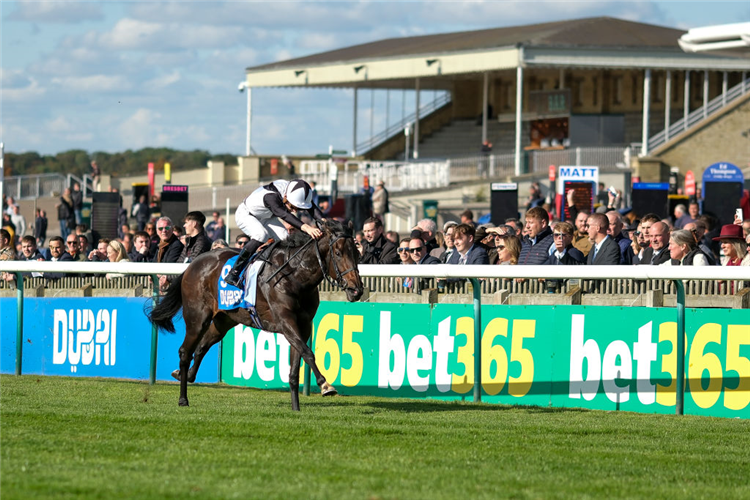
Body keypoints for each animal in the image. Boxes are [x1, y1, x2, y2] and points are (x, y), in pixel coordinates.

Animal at [146, 221, 364, 412]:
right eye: (338, 253)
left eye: (357, 253)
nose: (357, 290)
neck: (295, 275)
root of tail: (191, 266)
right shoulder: (285, 321)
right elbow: (308, 352)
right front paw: (326, 385)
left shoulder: (303, 325)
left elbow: (296, 365)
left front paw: (296, 408)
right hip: (197, 318)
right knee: (185, 352)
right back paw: (183, 398)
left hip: (224, 320)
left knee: (201, 347)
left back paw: (186, 376)